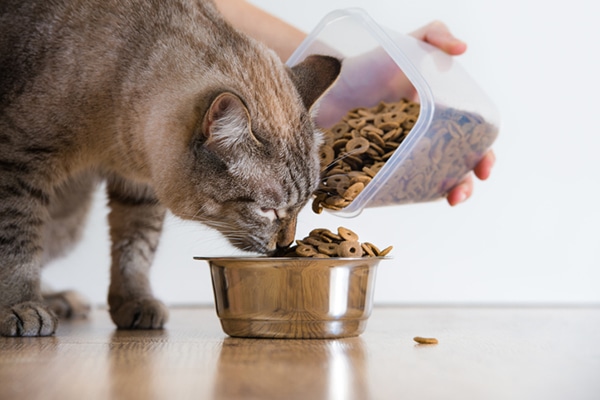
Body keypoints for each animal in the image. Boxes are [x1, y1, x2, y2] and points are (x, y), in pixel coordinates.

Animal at [0, 0, 340, 338]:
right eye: (267, 211)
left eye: (302, 207)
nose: (285, 245)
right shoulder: (18, 163)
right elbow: (17, 244)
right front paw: (21, 306)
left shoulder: (139, 188)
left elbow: (135, 250)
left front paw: (136, 302)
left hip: (68, 219)